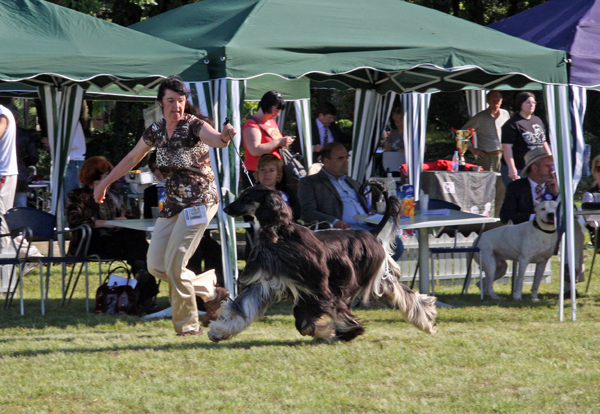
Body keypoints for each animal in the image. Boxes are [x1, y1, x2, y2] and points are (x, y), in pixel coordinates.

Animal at [209, 184, 438, 342]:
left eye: (247, 197)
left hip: (360, 277)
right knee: (406, 294)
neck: (280, 235)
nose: (226, 208)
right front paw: (219, 331)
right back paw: (426, 320)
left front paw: (347, 331)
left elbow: (317, 314)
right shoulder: (263, 283)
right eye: (242, 194)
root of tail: (371, 232)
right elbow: (242, 308)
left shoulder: (318, 286)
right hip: (379, 278)